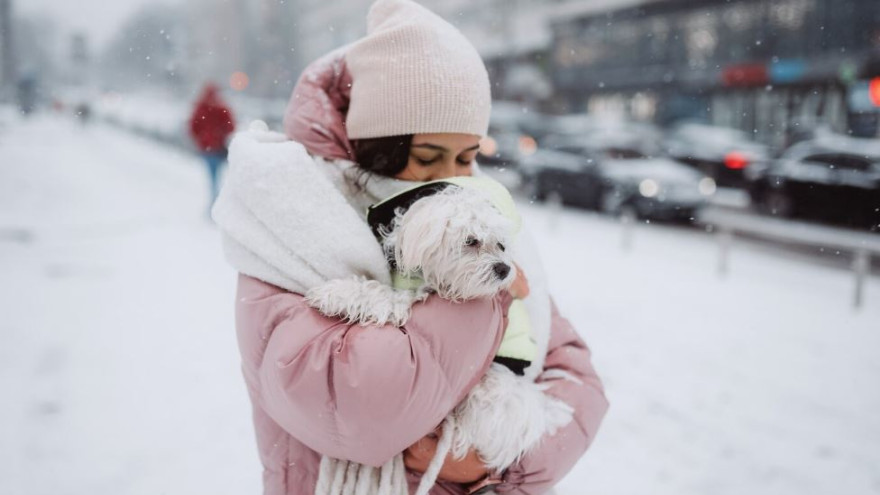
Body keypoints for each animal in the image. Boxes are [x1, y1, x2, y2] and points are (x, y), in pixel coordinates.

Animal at [306, 186, 576, 495]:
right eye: (471, 241)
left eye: (501, 245)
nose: (504, 269)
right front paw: (337, 293)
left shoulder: (412, 299)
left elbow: (384, 296)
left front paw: (335, 294)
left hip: (489, 387)